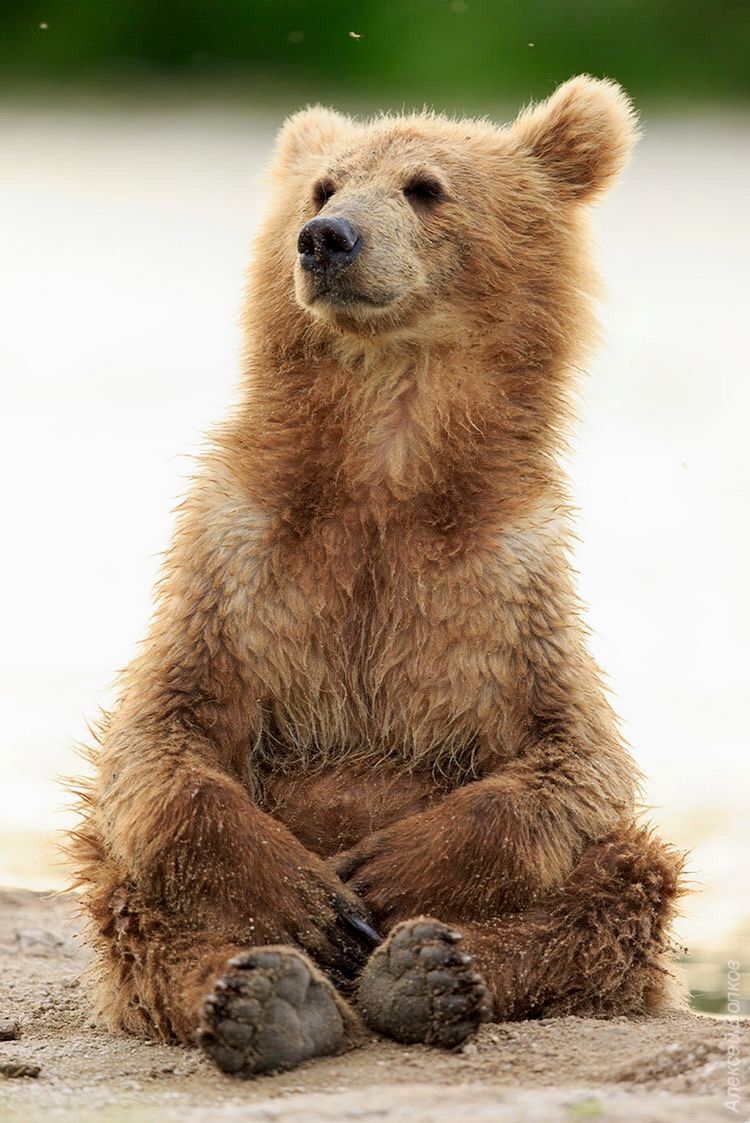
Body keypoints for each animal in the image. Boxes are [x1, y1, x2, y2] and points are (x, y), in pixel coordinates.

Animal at [69, 75, 684, 1078]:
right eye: (322, 185)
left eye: (425, 186)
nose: (327, 238)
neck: (384, 471)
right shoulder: (236, 560)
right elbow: (162, 739)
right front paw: (312, 893)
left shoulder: (508, 585)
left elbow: (574, 759)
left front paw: (387, 873)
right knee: (131, 893)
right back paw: (267, 997)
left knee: (625, 878)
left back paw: (425, 972)